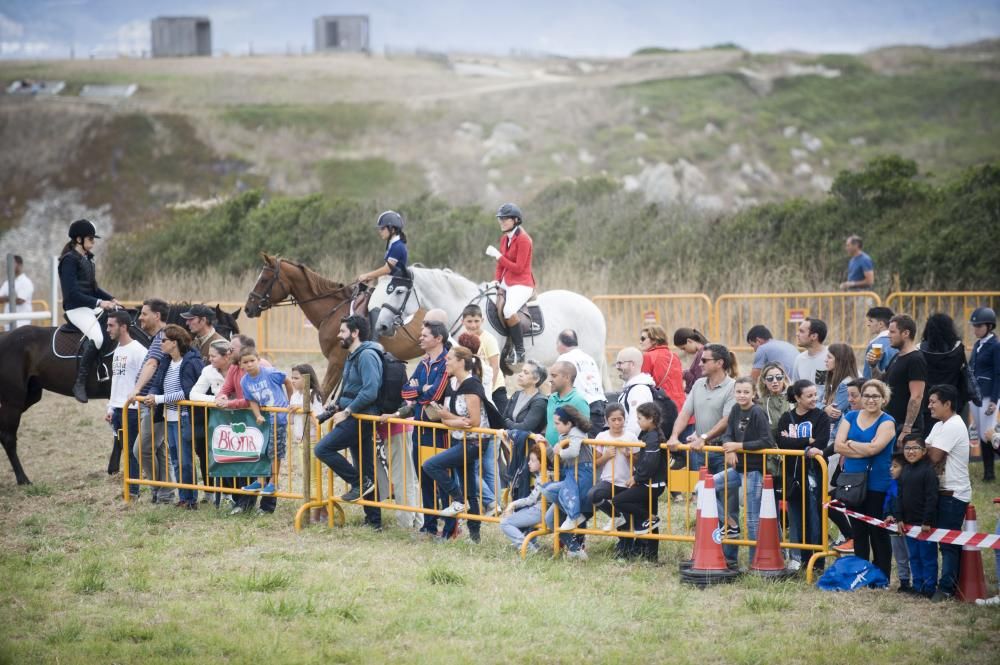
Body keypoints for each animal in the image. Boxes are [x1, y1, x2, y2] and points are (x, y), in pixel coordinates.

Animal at [0, 300, 240, 482]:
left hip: (28, 396)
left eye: (233, 334)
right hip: (13, 400)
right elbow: (122, 430)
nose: (228, 359)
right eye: (221, 331)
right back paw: (23, 479)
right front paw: (121, 468)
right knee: (8, 437)